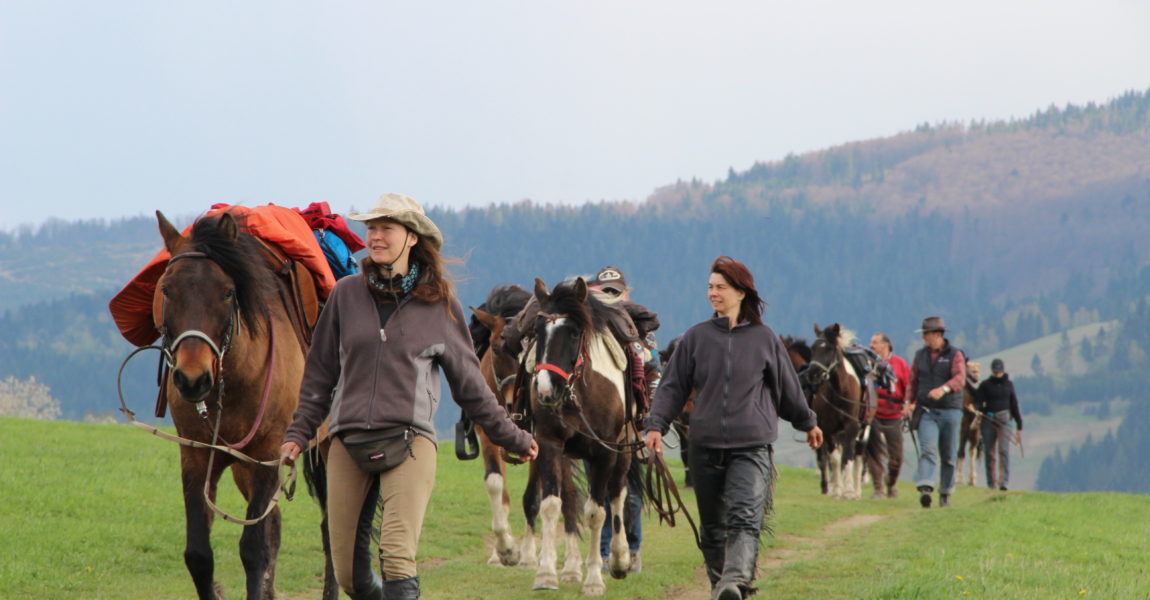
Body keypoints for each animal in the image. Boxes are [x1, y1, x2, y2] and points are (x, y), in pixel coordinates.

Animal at [157, 211, 310, 597]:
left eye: (227, 292)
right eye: (167, 289)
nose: (192, 379)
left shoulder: (268, 452)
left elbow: (254, 550)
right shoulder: (195, 454)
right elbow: (199, 555)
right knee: (275, 525)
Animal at [526, 275, 634, 593]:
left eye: (574, 332)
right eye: (537, 331)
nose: (546, 390)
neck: (578, 394)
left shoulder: (604, 452)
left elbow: (597, 512)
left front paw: (595, 580)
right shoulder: (549, 443)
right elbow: (552, 505)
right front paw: (546, 574)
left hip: (624, 448)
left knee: (617, 493)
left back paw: (620, 560)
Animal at [805, 324, 864, 496]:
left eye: (829, 349)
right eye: (813, 348)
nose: (812, 374)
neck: (840, 391)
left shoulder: (852, 426)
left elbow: (848, 457)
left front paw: (849, 491)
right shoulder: (827, 429)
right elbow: (835, 459)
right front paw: (837, 489)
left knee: (857, 456)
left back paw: (856, 489)